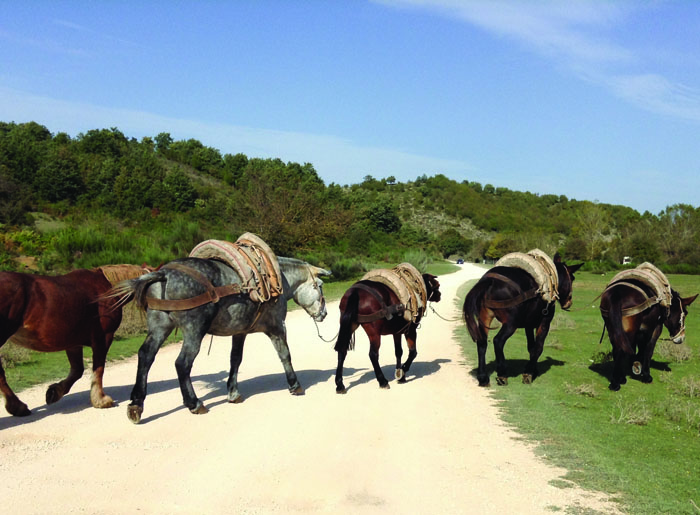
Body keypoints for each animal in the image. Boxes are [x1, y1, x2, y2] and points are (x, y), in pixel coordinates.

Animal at [0, 264, 149, 418]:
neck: (107, 289)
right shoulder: (103, 338)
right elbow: (98, 369)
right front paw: (101, 400)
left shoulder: (74, 343)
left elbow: (77, 370)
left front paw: (54, 392)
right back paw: (18, 407)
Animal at [110, 256, 330, 424]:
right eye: (319, 286)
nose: (324, 313)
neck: (277, 279)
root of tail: (164, 274)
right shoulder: (277, 327)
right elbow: (285, 354)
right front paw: (294, 384)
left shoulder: (240, 332)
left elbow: (235, 360)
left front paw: (233, 392)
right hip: (194, 330)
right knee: (182, 363)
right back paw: (194, 403)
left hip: (159, 327)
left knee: (145, 356)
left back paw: (136, 404)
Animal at [462, 254, 584, 388]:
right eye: (572, 278)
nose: (569, 302)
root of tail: (490, 281)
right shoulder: (544, 324)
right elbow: (538, 348)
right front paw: (529, 373)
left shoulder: (529, 326)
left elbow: (531, 347)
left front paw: (533, 369)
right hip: (511, 324)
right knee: (498, 341)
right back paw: (502, 374)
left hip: (485, 318)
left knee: (482, 343)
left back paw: (483, 377)